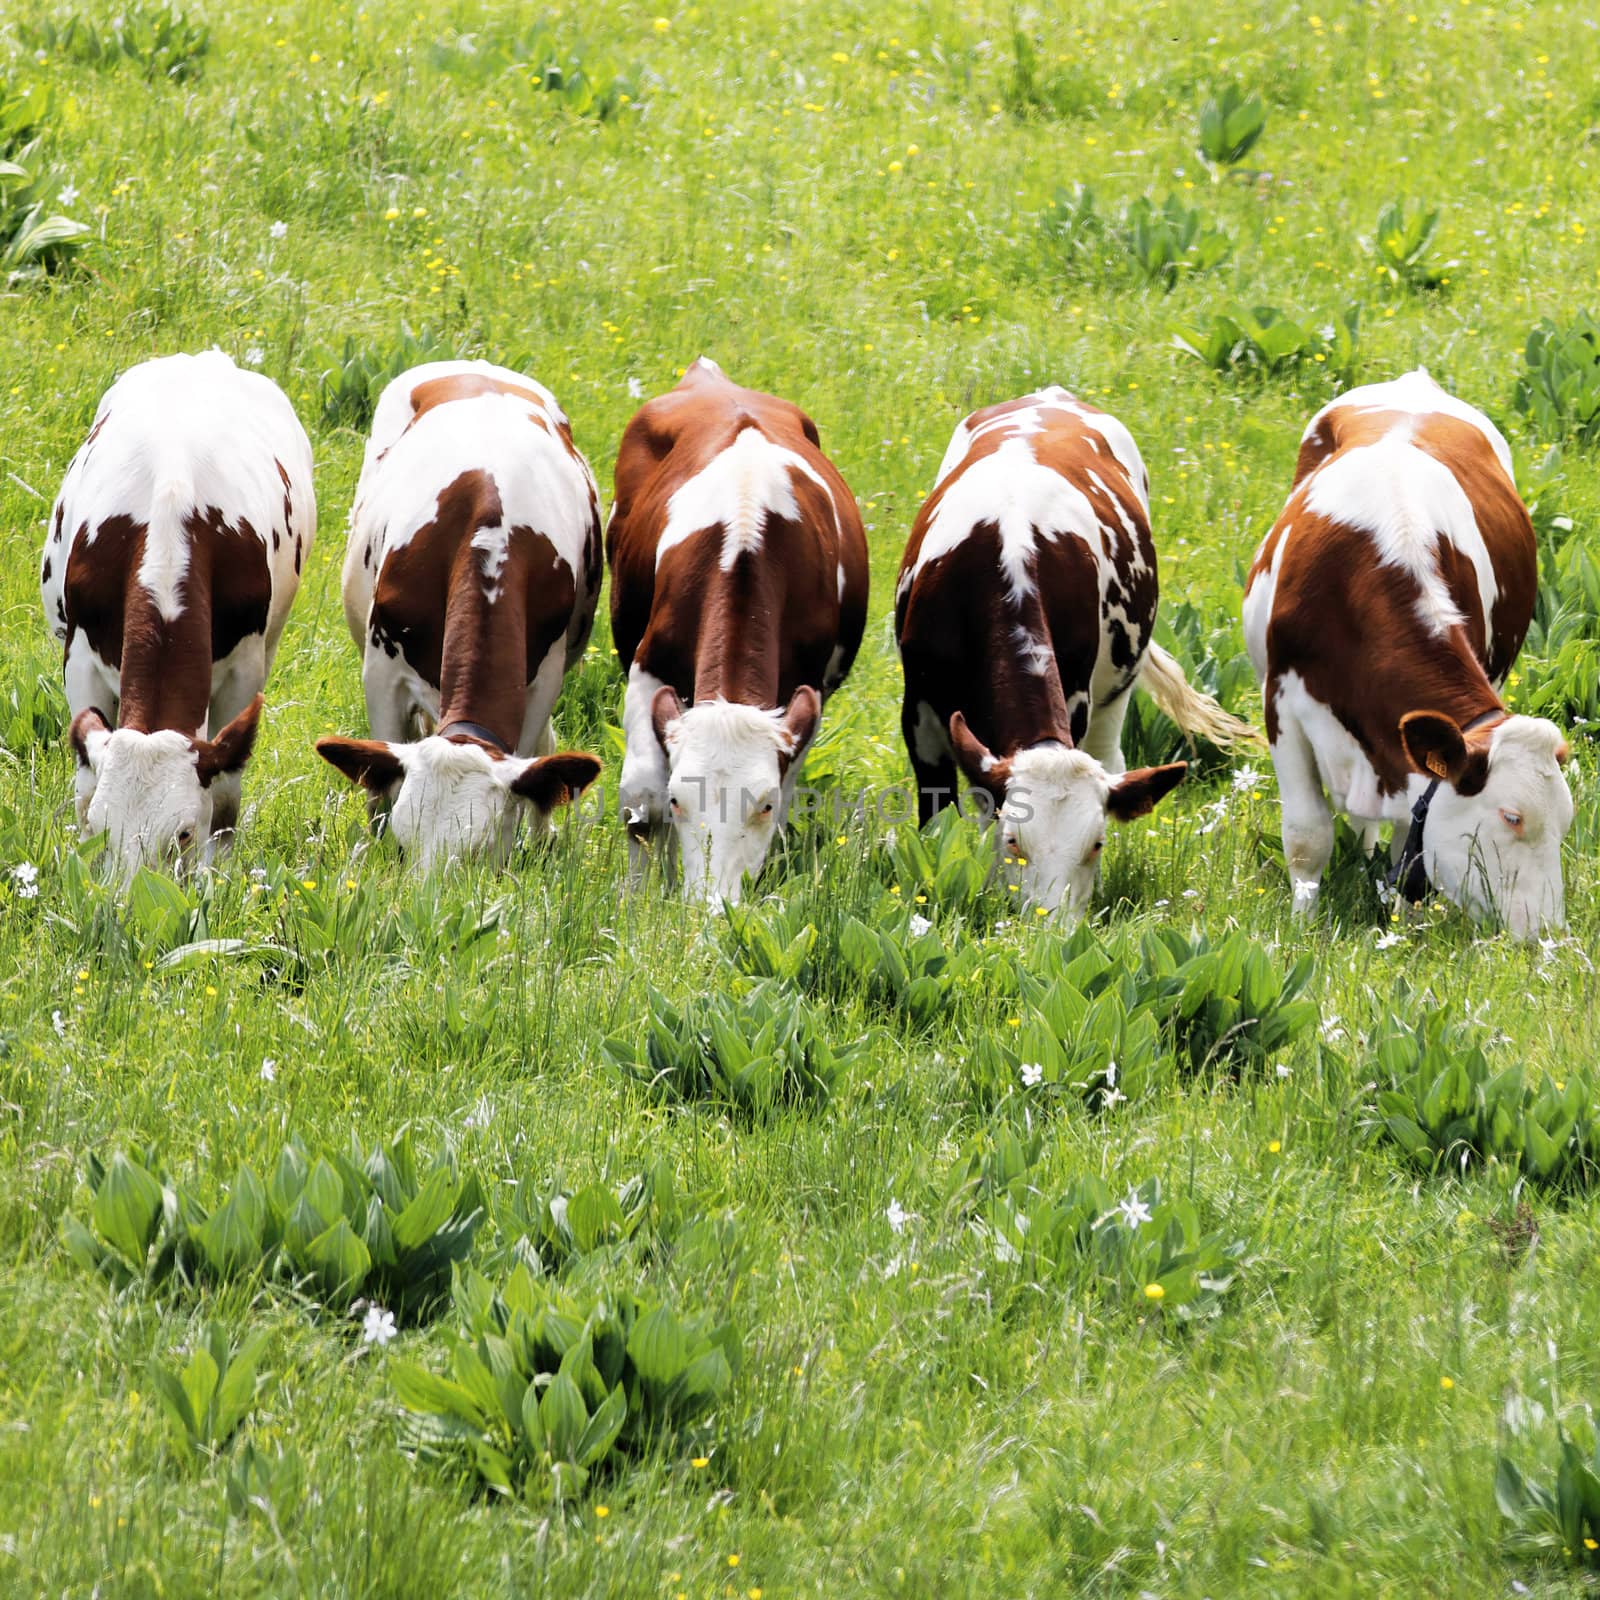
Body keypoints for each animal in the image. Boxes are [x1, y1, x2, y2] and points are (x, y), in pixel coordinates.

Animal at [40, 347, 315, 889]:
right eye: (102, 829)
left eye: (184, 834)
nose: (128, 898)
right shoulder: (79, 657)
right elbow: (84, 784)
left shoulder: (244, 669)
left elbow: (226, 798)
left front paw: (214, 877)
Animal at [608, 356, 864, 902]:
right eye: (680, 800)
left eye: (761, 805)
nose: (711, 905)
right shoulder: (649, 664)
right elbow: (642, 801)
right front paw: (639, 898)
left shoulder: (805, 692)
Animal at [896, 380, 1254, 921]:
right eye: (1014, 841)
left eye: (1097, 843)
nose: (1051, 925)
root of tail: (1052, 394)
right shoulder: (918, 711)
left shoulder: (1079, 696)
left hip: (1116, 687)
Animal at [1235, 366, 1574, 934]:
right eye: (1512, 817)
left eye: (1567, 821)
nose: (1546, 934)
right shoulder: (1281, 706)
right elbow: (1307, 835)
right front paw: (1302, 925)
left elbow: (1407, 846)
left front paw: (1403, 926)